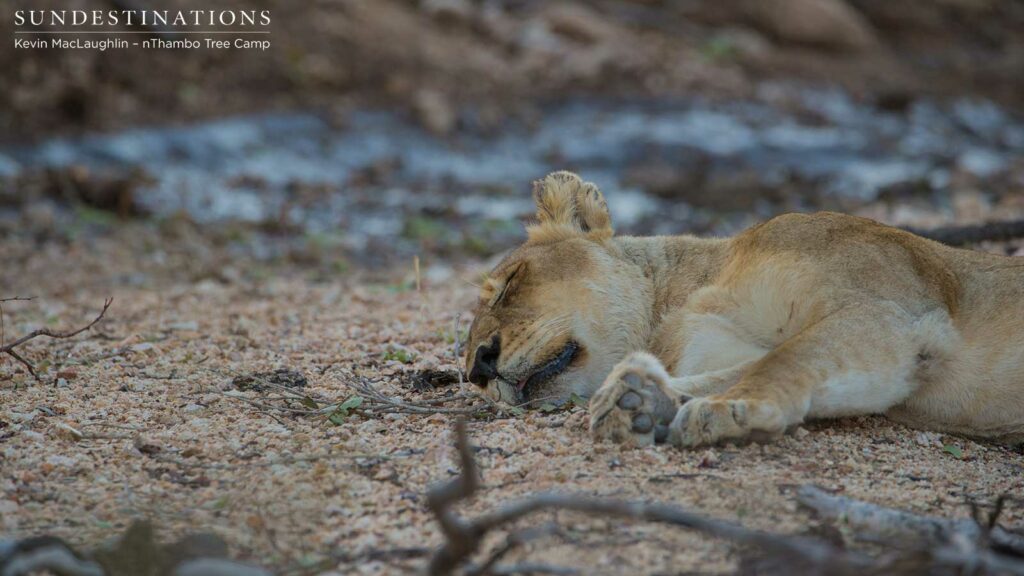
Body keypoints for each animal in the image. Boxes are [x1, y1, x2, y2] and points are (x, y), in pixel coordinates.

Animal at [464, 171, 1024, 448]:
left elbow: (786, 358)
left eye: (508, 285)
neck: (684, 300)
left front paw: (730, 409)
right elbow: (739, 368)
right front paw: (638, 399)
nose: (477, 369)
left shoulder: (892, 315)